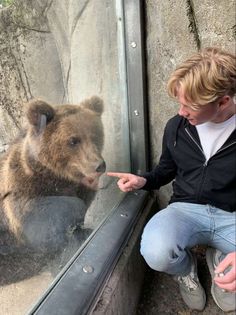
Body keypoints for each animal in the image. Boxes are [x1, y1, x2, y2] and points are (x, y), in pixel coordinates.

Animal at [0, 95, 105, 256]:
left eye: (95, 135)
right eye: (73, 140)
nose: (99, 165)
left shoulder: (81, 189)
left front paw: (80, 229)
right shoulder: (27, 192)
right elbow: (42, 228)